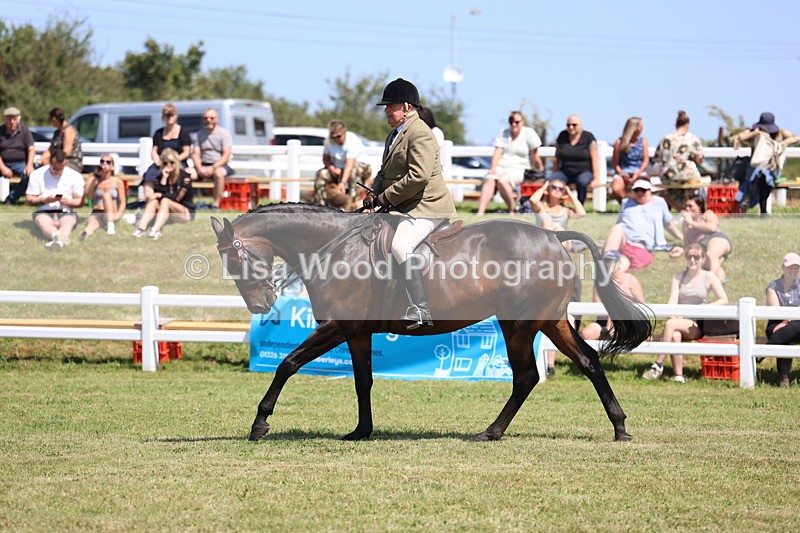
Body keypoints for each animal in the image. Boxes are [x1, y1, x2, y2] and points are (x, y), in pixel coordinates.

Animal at [211, 203, 652, 442]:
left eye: (237, 258)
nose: (262, 304)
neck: (334, 248)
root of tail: (553, 237)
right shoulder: (356, 332)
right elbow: (362, 380)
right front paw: (361, 430)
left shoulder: (338, 326)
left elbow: (287, 365)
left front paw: (259, 424)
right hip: (549, 321)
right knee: (586, 362)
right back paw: (619, 427)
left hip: (520, 324)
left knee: (528, 375)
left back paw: (492, 431)